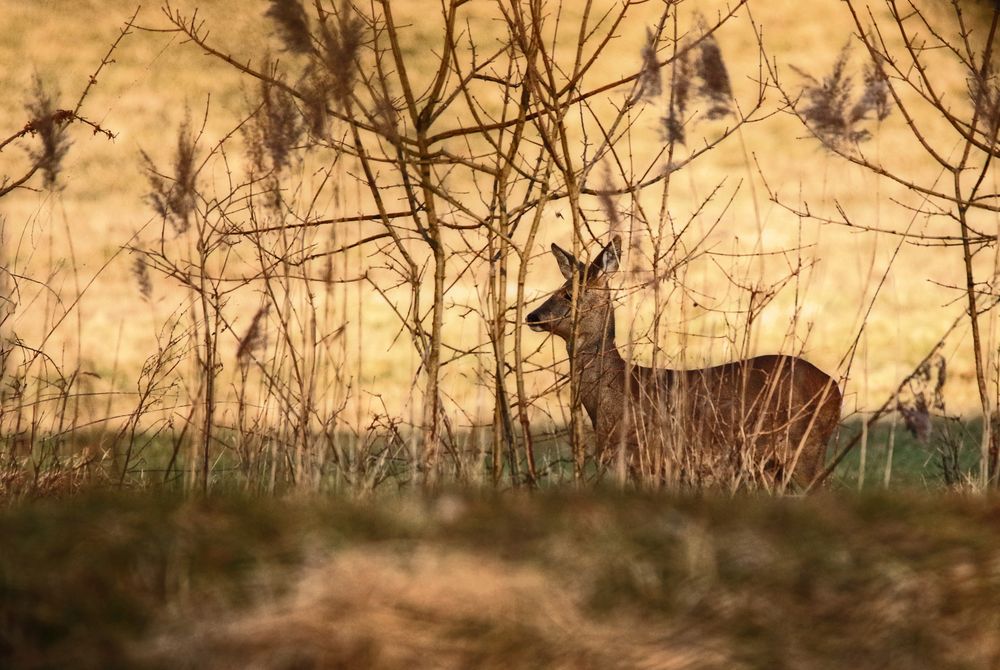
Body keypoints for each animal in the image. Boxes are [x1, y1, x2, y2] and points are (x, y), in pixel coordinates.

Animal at [528, 236, 840, 488]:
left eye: (569, 294)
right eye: (558, 289)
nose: (533, 316)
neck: (615, 396)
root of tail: (834, 388)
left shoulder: (648, 459)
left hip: (806, 447)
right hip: (772, 466)